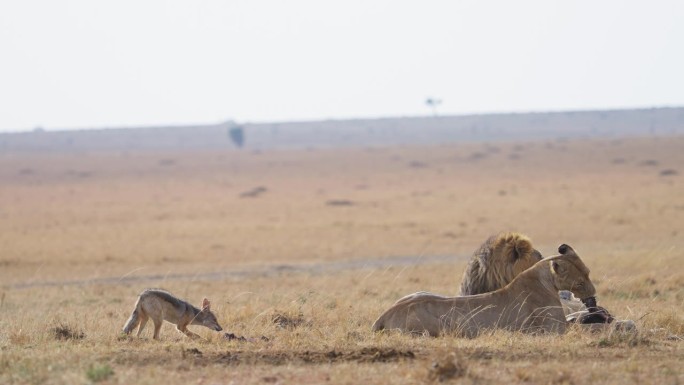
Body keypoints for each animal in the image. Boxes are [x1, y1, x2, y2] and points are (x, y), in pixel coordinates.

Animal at [372, 244, 596, 334]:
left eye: (588, 273)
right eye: (580, 282)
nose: (592, 294)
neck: (545, 278)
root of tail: (385, 314)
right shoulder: (553, 329)